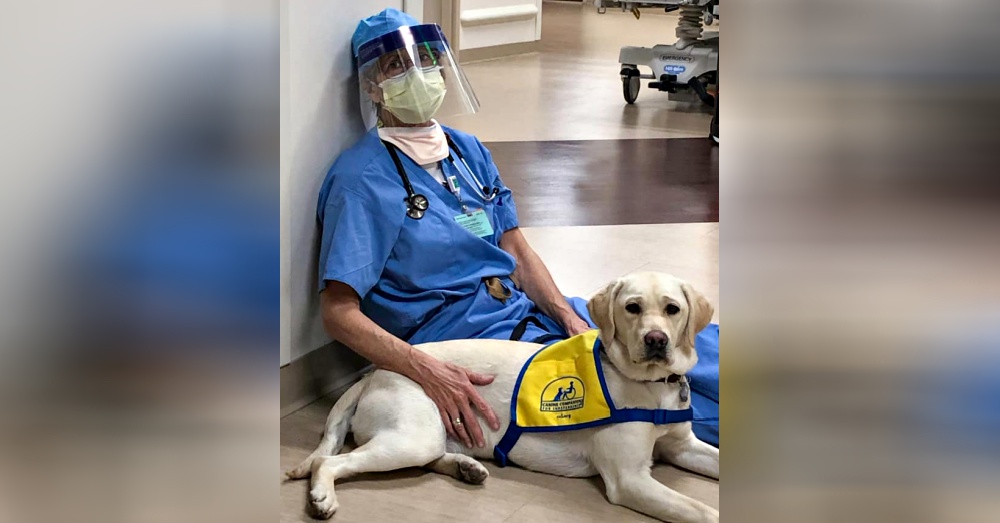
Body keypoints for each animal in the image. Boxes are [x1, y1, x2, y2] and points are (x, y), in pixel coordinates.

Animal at [288, 272, 720, 520]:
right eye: (632, 308)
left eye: (672, 309)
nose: (656, 340)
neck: (653, 386)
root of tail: (375, 373)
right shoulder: (629, 479)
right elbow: (704, 511)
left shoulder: (682, 447)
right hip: (412, 436)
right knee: (327, 462)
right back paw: (322, 496)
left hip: (427, 437)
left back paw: (466, 467)